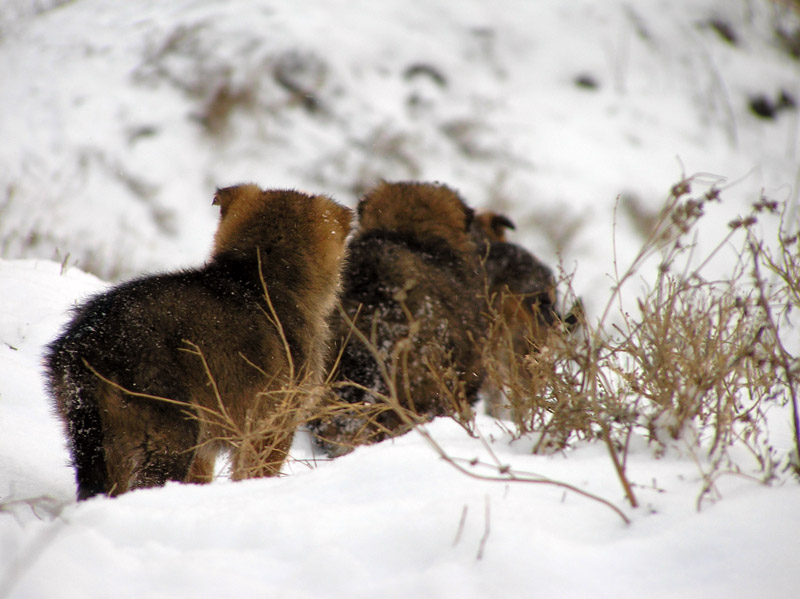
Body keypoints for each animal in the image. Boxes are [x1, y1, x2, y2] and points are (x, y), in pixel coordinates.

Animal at [45, 185, 352, 500]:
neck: (259, 277)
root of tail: (90, 345)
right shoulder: (273, 426)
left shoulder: (207, 448)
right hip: (172, 438)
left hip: (102, 442)